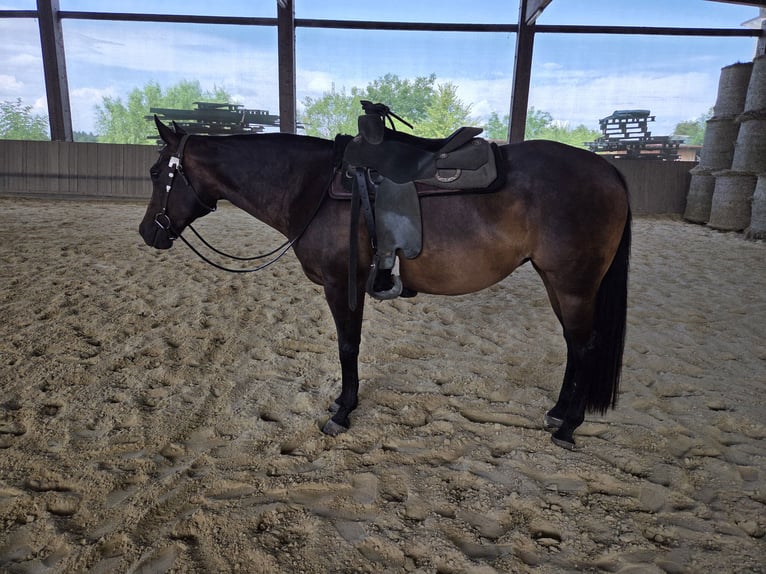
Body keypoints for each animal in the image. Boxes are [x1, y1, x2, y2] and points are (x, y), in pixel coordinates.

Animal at [139, 117, 631, 449]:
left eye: (155, 173)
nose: (148, 232)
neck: (311, 187)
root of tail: (608, 171)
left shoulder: (341, 283)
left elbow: (347, 346)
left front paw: (342, 410)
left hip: (573, 283)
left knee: (585, 345)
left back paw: (569, 424)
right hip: (556, 280)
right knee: (573, 343)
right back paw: (557, 413)